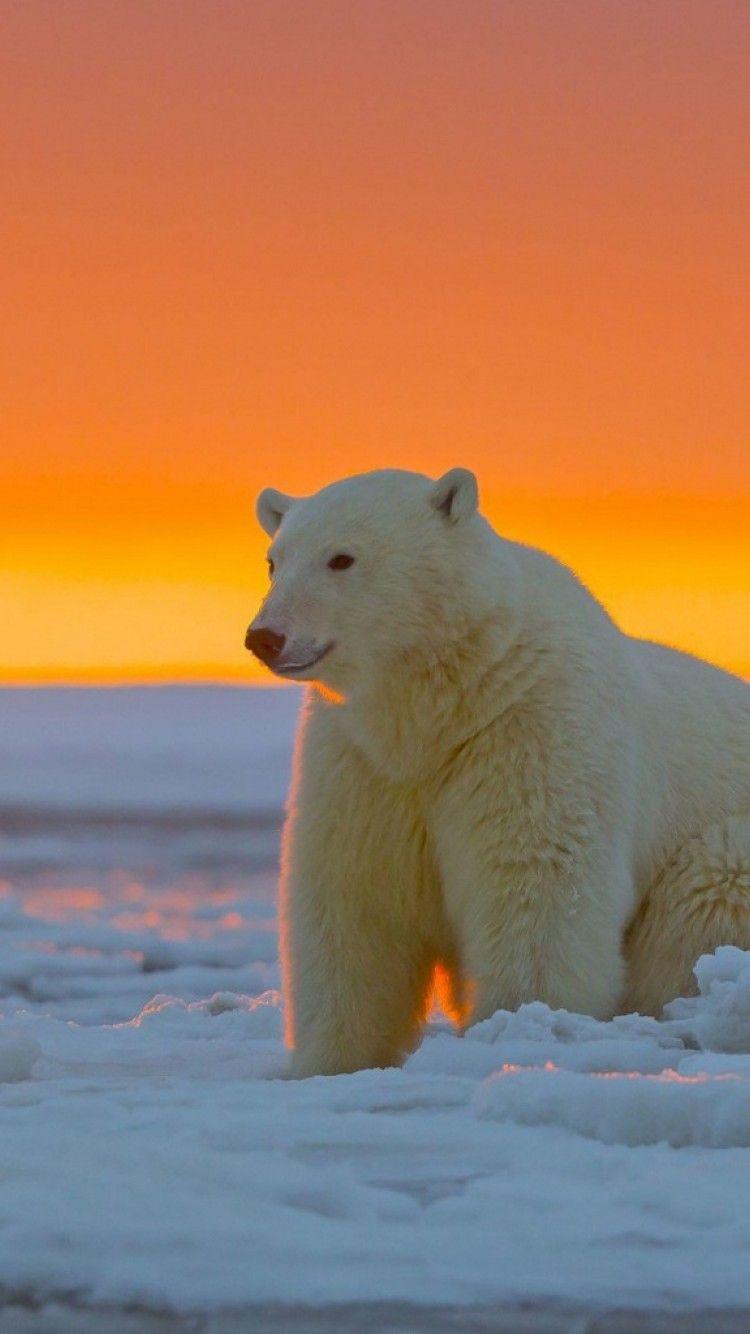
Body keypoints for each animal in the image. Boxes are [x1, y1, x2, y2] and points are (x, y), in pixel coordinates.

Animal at [245, 467, 750, 1077]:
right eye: (275, 560)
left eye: (342, 557)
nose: (265, 636)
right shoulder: (363, 761)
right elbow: (355, 896)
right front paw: (330, 1061)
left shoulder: (531, 728)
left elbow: (533, 883)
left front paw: (519, 1026)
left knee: (708, 893)